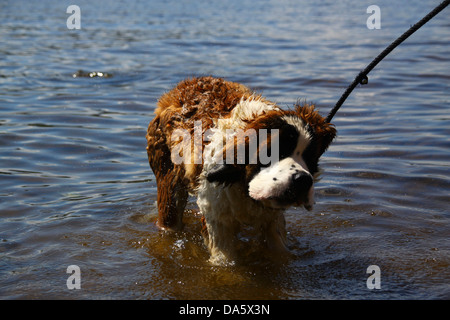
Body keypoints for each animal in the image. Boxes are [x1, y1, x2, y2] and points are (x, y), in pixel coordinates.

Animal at [146, 76, 336, 264]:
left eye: (310, 158)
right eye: (272, 152)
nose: (302, 180)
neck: (240, 181)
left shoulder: (273, 221)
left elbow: (280, 251)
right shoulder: (217, 223)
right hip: (169, 190)